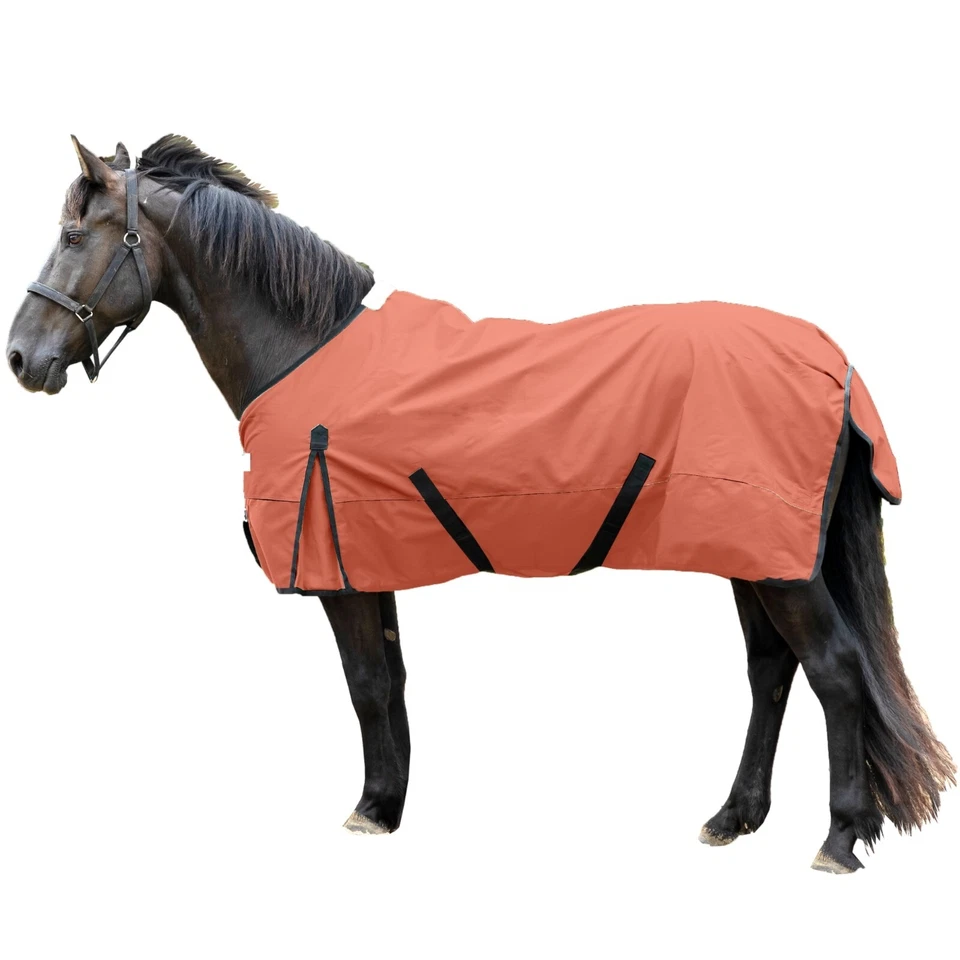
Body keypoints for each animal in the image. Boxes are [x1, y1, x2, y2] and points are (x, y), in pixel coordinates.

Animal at [6, 135, 954, 873]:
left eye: (72, 234)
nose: (20, 357)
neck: (305, 350)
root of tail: (833, 361)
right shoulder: (368, 561)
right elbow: (389, 682)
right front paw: (388, 803)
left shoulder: (340, 573)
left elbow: (364, 685)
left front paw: (368, 810)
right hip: (749, 556)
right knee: (771, 673)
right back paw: (734, 818)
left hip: (780, 567)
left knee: (835, 671)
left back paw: (838, 838)